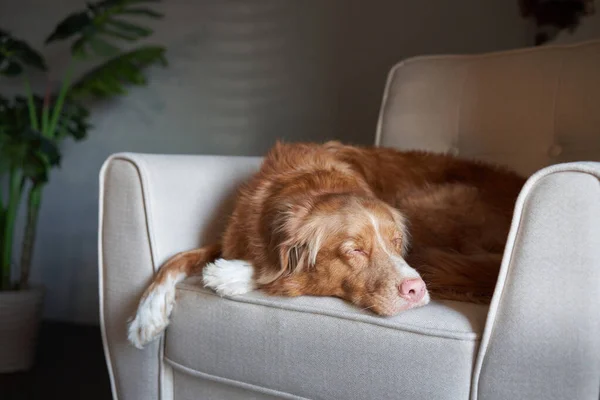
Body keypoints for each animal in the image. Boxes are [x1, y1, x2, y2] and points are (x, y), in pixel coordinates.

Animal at [127, 141, 524, 346]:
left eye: (397, 244)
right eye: (355, 250)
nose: (416, 290)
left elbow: (281, 276)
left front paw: (229, 275)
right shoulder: (231, 235)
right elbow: (179, 257)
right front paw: (148, 313)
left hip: (425, 203)